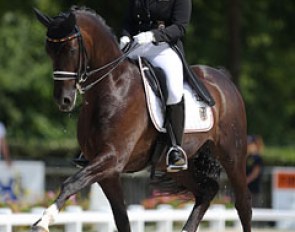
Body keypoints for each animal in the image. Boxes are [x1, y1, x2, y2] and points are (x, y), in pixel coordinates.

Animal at [33, 6, 252, 232]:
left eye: (71, 50)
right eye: (49, 50)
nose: (63, 100)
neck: (113, 87)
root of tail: (223, 78)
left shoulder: (112, 158)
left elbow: (71, 183)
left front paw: (44, 221)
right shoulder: (108, 171)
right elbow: (121, 218)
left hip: (232, 155)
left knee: (243, 204)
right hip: (178, 164)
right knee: (207, 190)